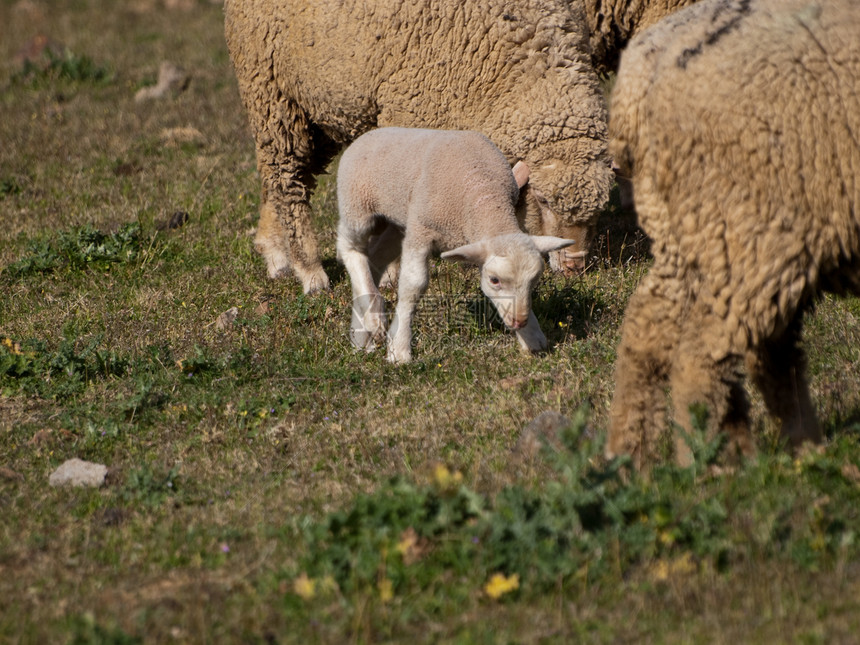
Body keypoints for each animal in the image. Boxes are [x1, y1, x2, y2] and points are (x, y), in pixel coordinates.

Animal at [222, 0, 612, 294]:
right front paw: (393, 271)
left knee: (283, 177)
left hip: (321, 106)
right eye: (543, 201)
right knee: (287, 179)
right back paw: (310, 272)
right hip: (272, 91)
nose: (576, 269)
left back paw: (276, 255)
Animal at [336, 128, 576, 364]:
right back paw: (374, 319)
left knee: (374, 260)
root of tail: (370, 133)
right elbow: (413, 285)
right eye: (494, 280)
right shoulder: (421, 228)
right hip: (357, 207)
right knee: (349, 247)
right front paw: (399, 349)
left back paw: (362, 334)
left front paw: (532, 336)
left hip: (395, 223)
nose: (519, 322)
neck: (481, 189)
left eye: (534, 280)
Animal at [604, 0, 860, 466]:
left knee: (652, 329)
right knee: (707, 356)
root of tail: (639, 80)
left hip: (692, 230)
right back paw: (714, 465)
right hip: (755, 228)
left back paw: (633, 459)